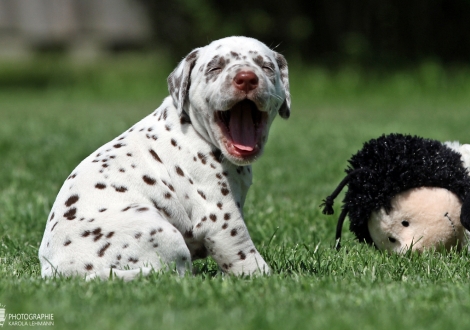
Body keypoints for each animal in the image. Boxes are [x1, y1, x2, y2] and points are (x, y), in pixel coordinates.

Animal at [38, 36, 290, 280]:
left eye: (266, 67)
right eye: (215, 68)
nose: (246, 78)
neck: (194, 129)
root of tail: (55, 270)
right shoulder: (221, 220)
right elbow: (245, 257)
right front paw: (268, 280)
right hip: (160, 230)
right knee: (171, 273)